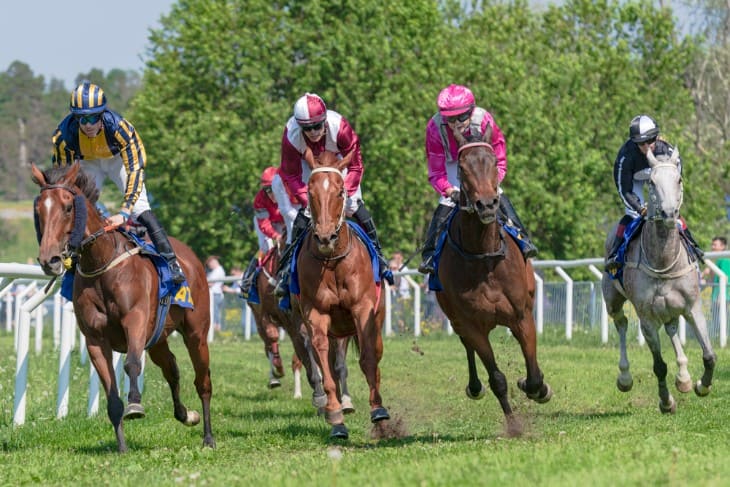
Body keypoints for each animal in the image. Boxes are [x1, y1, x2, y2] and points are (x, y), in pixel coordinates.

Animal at [31, 164, 213, 454]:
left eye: (68, 207)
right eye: (39, 209)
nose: (50, 260)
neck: (101, 261)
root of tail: (191, 258)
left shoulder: (135, 321)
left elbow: (131, 364)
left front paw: (135, 404)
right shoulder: (95, 339)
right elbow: (111, 394)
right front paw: (122, 447)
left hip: (196, 333)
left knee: (203, 381)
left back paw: (208, 437)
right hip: (158, 339)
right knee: (171, 369)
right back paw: (186, 415)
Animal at [292, 151, 390, 440]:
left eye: (339, 191)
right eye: (310, 192)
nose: (325, 237)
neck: (333, 262)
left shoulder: (362, 309)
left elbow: (368, 359)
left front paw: (378, 410)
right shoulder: (315, 313)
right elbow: (323, 361)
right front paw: (335, 416)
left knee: (374, 358)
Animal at [432, 127, 552, 432]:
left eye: (493, 162)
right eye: (462, 168)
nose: (487, 204)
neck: (484, 256)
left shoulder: (522, 316)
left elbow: (534, 374)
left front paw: (538, 389)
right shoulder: (473, 325)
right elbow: (497, 378)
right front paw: (514, 426)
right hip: (455, 318)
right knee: (466, 346)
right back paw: (474, 387)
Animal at [600, 148, 712, 412]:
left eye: (679, 180)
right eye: (651, 182)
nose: (669, 213)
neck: (663, 261)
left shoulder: (693, 307)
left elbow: (709, 355)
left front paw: (701, 385)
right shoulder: (647, 318)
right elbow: (659, 365)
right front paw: (666, 401)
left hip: (670, 308)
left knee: (671, 328)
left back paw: (684, 377)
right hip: (612, 299)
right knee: (621, 323)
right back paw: (625, 377)